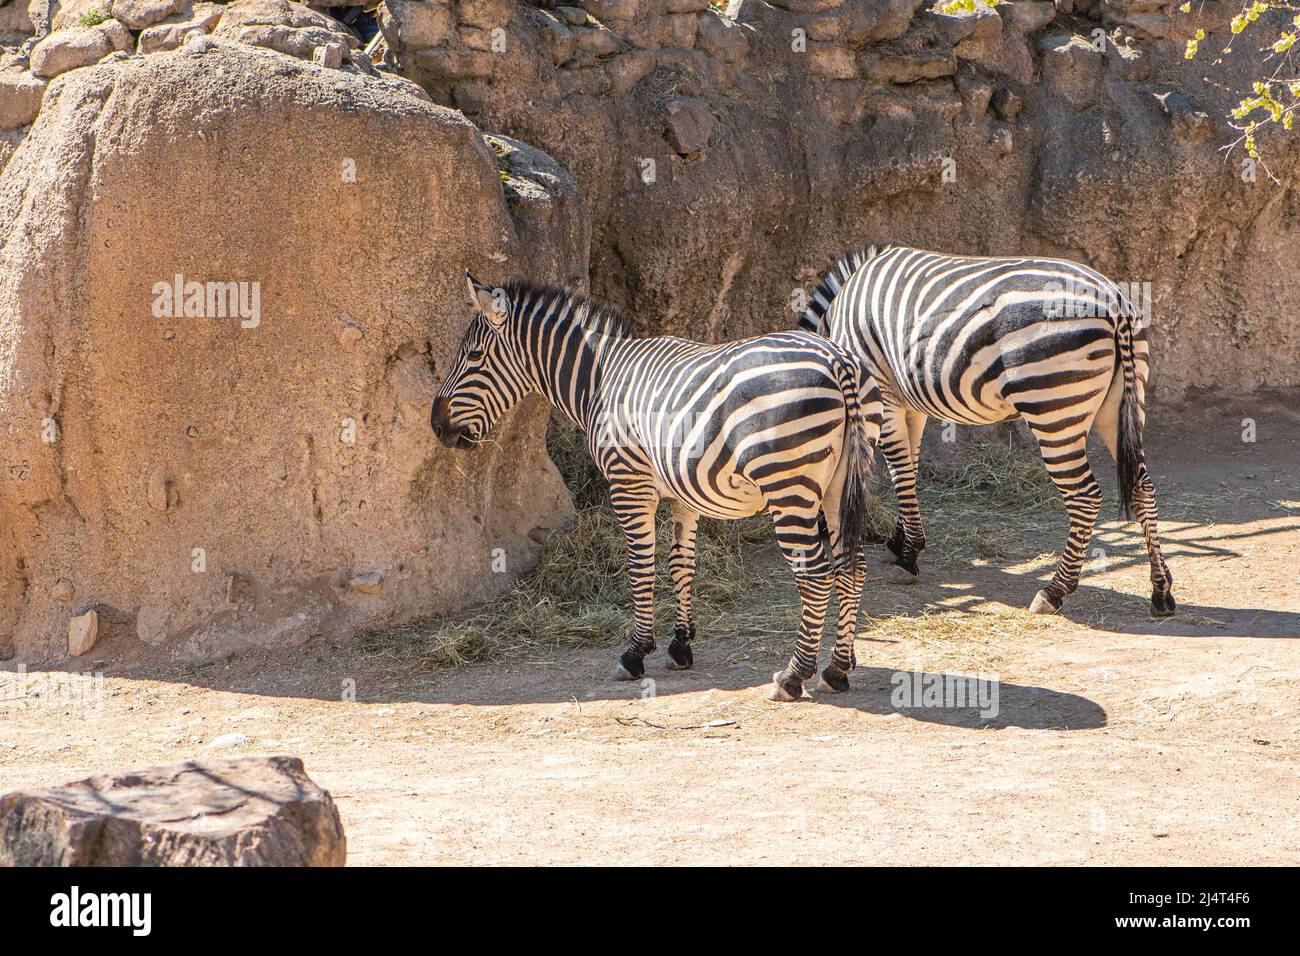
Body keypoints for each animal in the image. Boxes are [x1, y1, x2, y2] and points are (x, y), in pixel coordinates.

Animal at [434, 273, 883, 697]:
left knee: (817, 574)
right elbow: (682, 563)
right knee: (853, 566)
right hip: (837, 484)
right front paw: (681, 646)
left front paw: (635, 653)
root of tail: (838, 360)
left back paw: (793, 676)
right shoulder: (685, 492)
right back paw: (836, 669)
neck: (600, 379)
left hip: (788, 485)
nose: (436, 426)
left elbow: (641, 565)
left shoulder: (629, 483)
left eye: (473, 356)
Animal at [795, 247, 1175, 616]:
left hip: (1053, 407)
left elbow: (899, 471)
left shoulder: (883, 392)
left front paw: (908, 555)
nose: (823, 530)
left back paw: (1055, 591)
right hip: (1121, 404)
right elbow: (910, 470)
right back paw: (1160, 590)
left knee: (1086, 496)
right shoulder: (909, 403)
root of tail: (1113, 299)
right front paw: (901, 542)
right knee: (1142, 487)